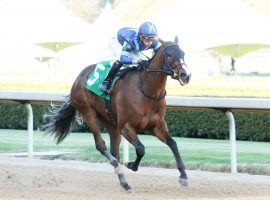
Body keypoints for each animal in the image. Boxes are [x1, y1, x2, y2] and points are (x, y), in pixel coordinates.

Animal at [43, 36, 191, 193]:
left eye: (183, 53)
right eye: (169, 55)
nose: (186, 75)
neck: (147, 91)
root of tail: (78, 78)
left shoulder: (157, 126)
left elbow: (173, 144)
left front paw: (183, 176)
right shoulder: (126, 127)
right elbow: (141, 149)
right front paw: (131, 165)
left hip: (111, 123)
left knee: (115, 151)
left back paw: (124, 183)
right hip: (88, 112)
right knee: (101, 146)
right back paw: (117, 166)